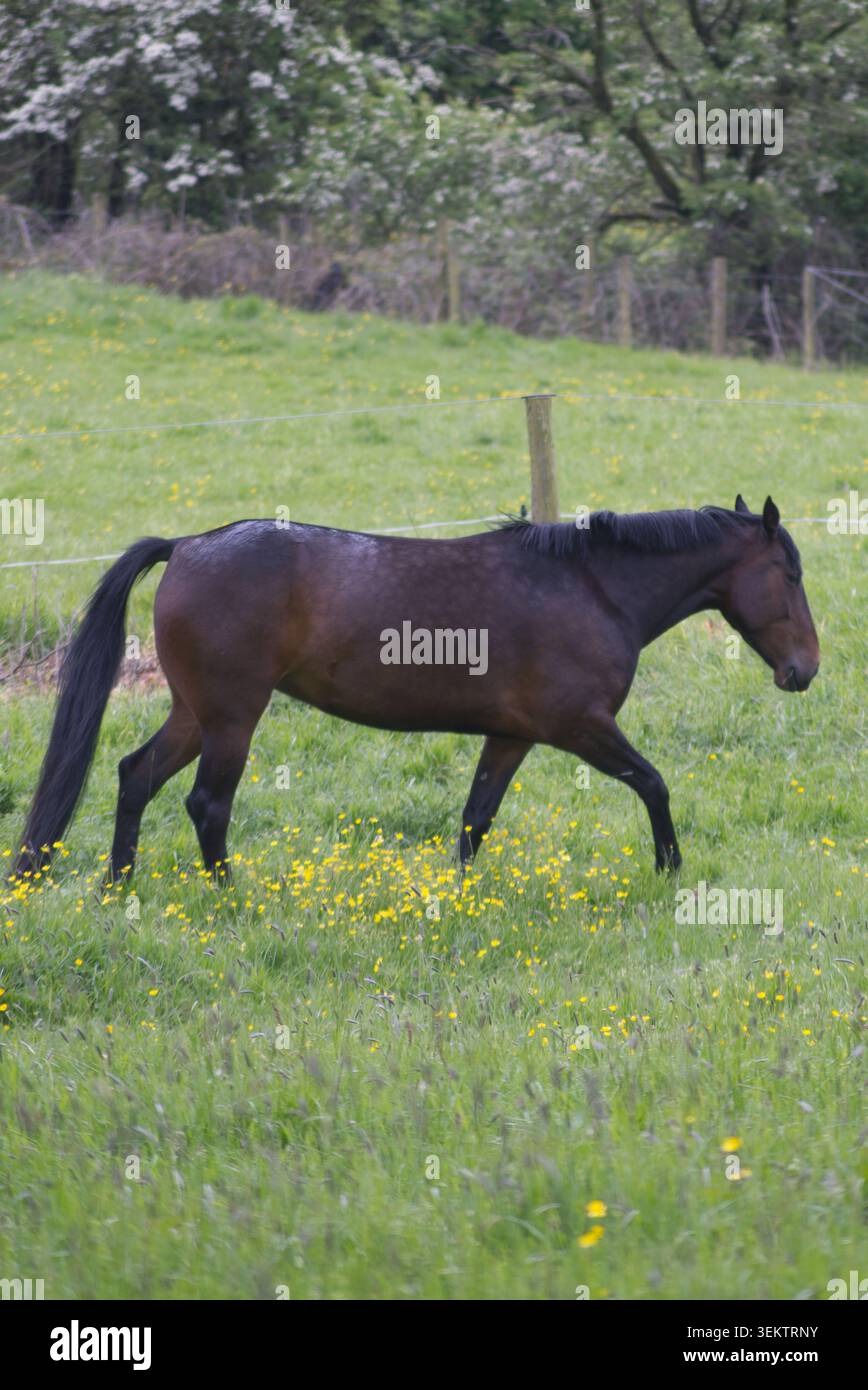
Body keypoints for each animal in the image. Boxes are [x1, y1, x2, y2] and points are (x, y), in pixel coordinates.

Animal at [15, 494, 819, 883]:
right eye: (790, 574)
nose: (805, 669)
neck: (593, 587)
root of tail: (185, 546)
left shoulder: (512, 736)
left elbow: (475, 821)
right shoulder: (581, 727)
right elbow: (653, 784)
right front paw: (669, 871)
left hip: (196, 714)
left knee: (135, 777)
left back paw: (120, 887)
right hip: (232, 718)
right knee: (206, 805)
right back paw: (228, 899)